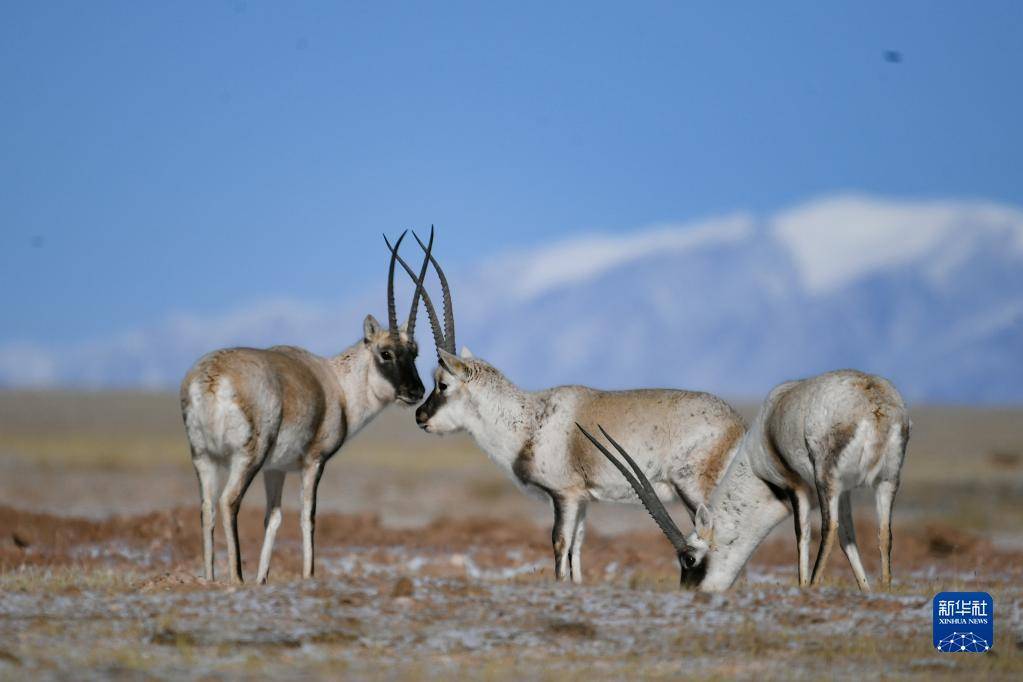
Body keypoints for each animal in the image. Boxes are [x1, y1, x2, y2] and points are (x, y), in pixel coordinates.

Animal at [181, 228, 435, 580]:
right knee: (229, 501)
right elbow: (308, 516)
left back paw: (210, 579)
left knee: (206, 508)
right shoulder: (314, 462)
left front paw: (263, 579)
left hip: (204, 457)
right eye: (386, 353)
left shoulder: (276, 469)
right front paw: (307, 576)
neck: (337, 384)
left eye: (415, 353)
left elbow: (273, 518)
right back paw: (236, 578)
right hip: (246, 458)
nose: (416, 391)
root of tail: (212, 376)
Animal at [386, 232, 748, 584]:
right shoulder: (584, 500)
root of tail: (738, 423)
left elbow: (560, 544)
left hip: (694, 490)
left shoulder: (564, 495)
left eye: (443, 384)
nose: (420, 416)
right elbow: (577, 548)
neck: (529, 420)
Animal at [585, 368, 912, 593]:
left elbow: (803, 534)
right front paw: (865, 589)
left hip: (826, 479)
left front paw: (804, 586)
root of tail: (875, 401)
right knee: (884, 531)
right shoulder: (844, 491)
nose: (689, 592)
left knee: (828, 529)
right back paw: (885, 588)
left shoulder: (796, 487)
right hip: (887, 480)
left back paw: (816, 586)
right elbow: (849, 537)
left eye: (689, 559)